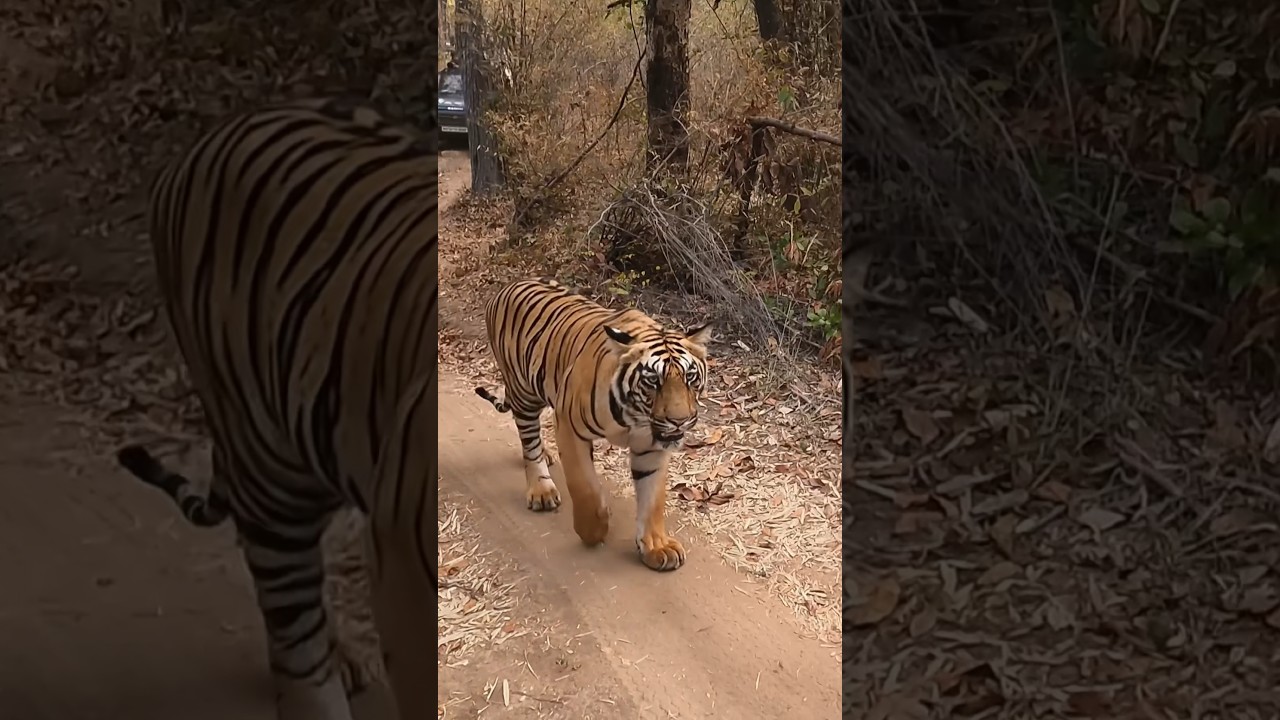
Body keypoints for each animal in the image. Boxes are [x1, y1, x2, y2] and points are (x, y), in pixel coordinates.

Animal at [473, 277, 712, 572]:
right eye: (653, 381)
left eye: (690, 377)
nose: (679, 421)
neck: (635, 416)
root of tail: (508, 287)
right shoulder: (568, 424)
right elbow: (584, 488)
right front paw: (593, 531)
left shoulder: (651, 445)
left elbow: (653, 498)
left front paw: (657, 547)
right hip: (524, 392)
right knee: (528, 439)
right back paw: (541, 489)